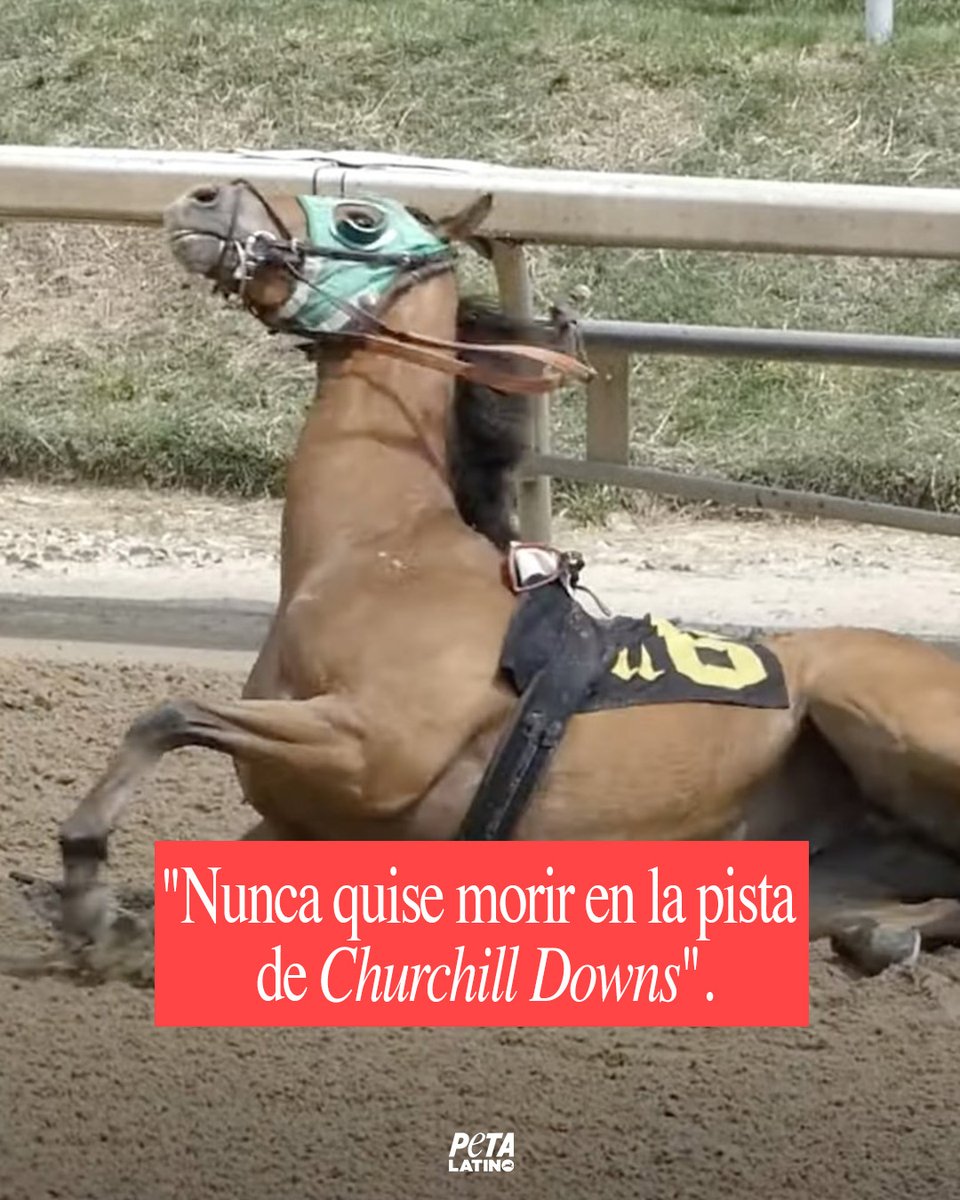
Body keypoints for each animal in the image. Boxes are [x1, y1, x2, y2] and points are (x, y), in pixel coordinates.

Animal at [54, 179, 960, 978]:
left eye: (359, 220)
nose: (201, 198)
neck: (376, 549)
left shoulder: (372, 747)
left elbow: (171, 714)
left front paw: (89, 889)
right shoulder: (309, 827)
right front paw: (120, 925)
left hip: (881, 708)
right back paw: (877, 932)